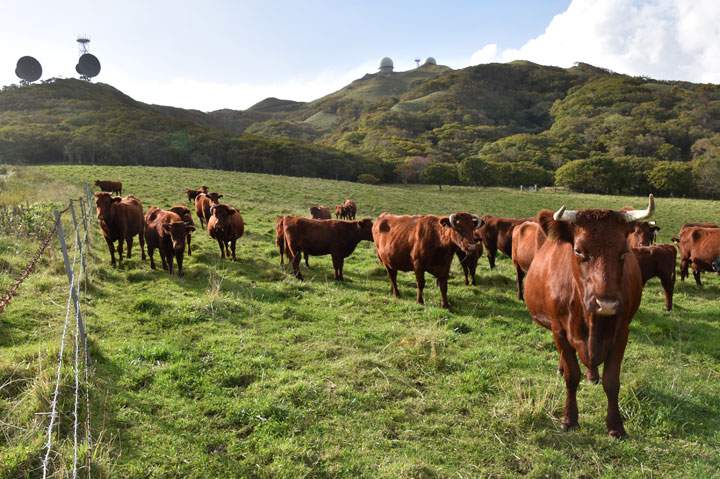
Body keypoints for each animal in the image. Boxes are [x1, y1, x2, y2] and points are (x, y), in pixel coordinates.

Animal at [523, 195, 654, 438]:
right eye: (578, 251)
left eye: (623, 252)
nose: (607, 304)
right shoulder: (559, 331)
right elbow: (571, 376)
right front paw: (569, 419)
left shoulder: (621, 333)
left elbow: (612, 381)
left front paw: (615, 425)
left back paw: (592, 374)